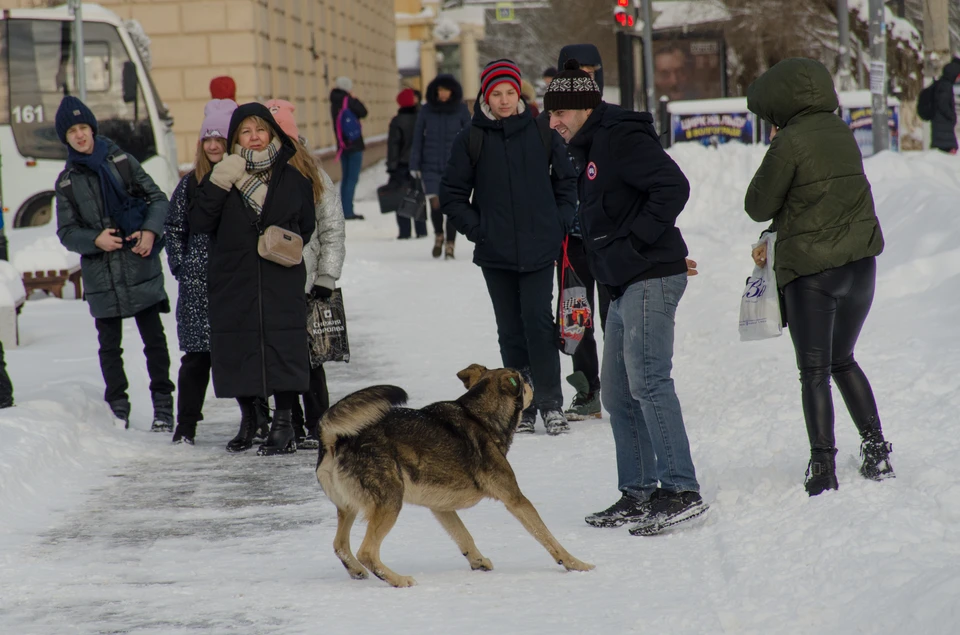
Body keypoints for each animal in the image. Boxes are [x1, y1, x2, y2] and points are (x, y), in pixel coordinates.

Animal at [318, 366, 596, 588]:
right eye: (521, 378)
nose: (529, 373)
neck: (480, 416)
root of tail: (335, 438)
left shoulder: (441, 508)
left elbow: (464, 536)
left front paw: (478, 561)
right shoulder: (515, 499)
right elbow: (548, 537)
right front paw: (576, 564)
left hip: (349, 507)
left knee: (340, 545)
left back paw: (356, 571)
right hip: (389, 503)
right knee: (367, 551)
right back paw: (398, 580)